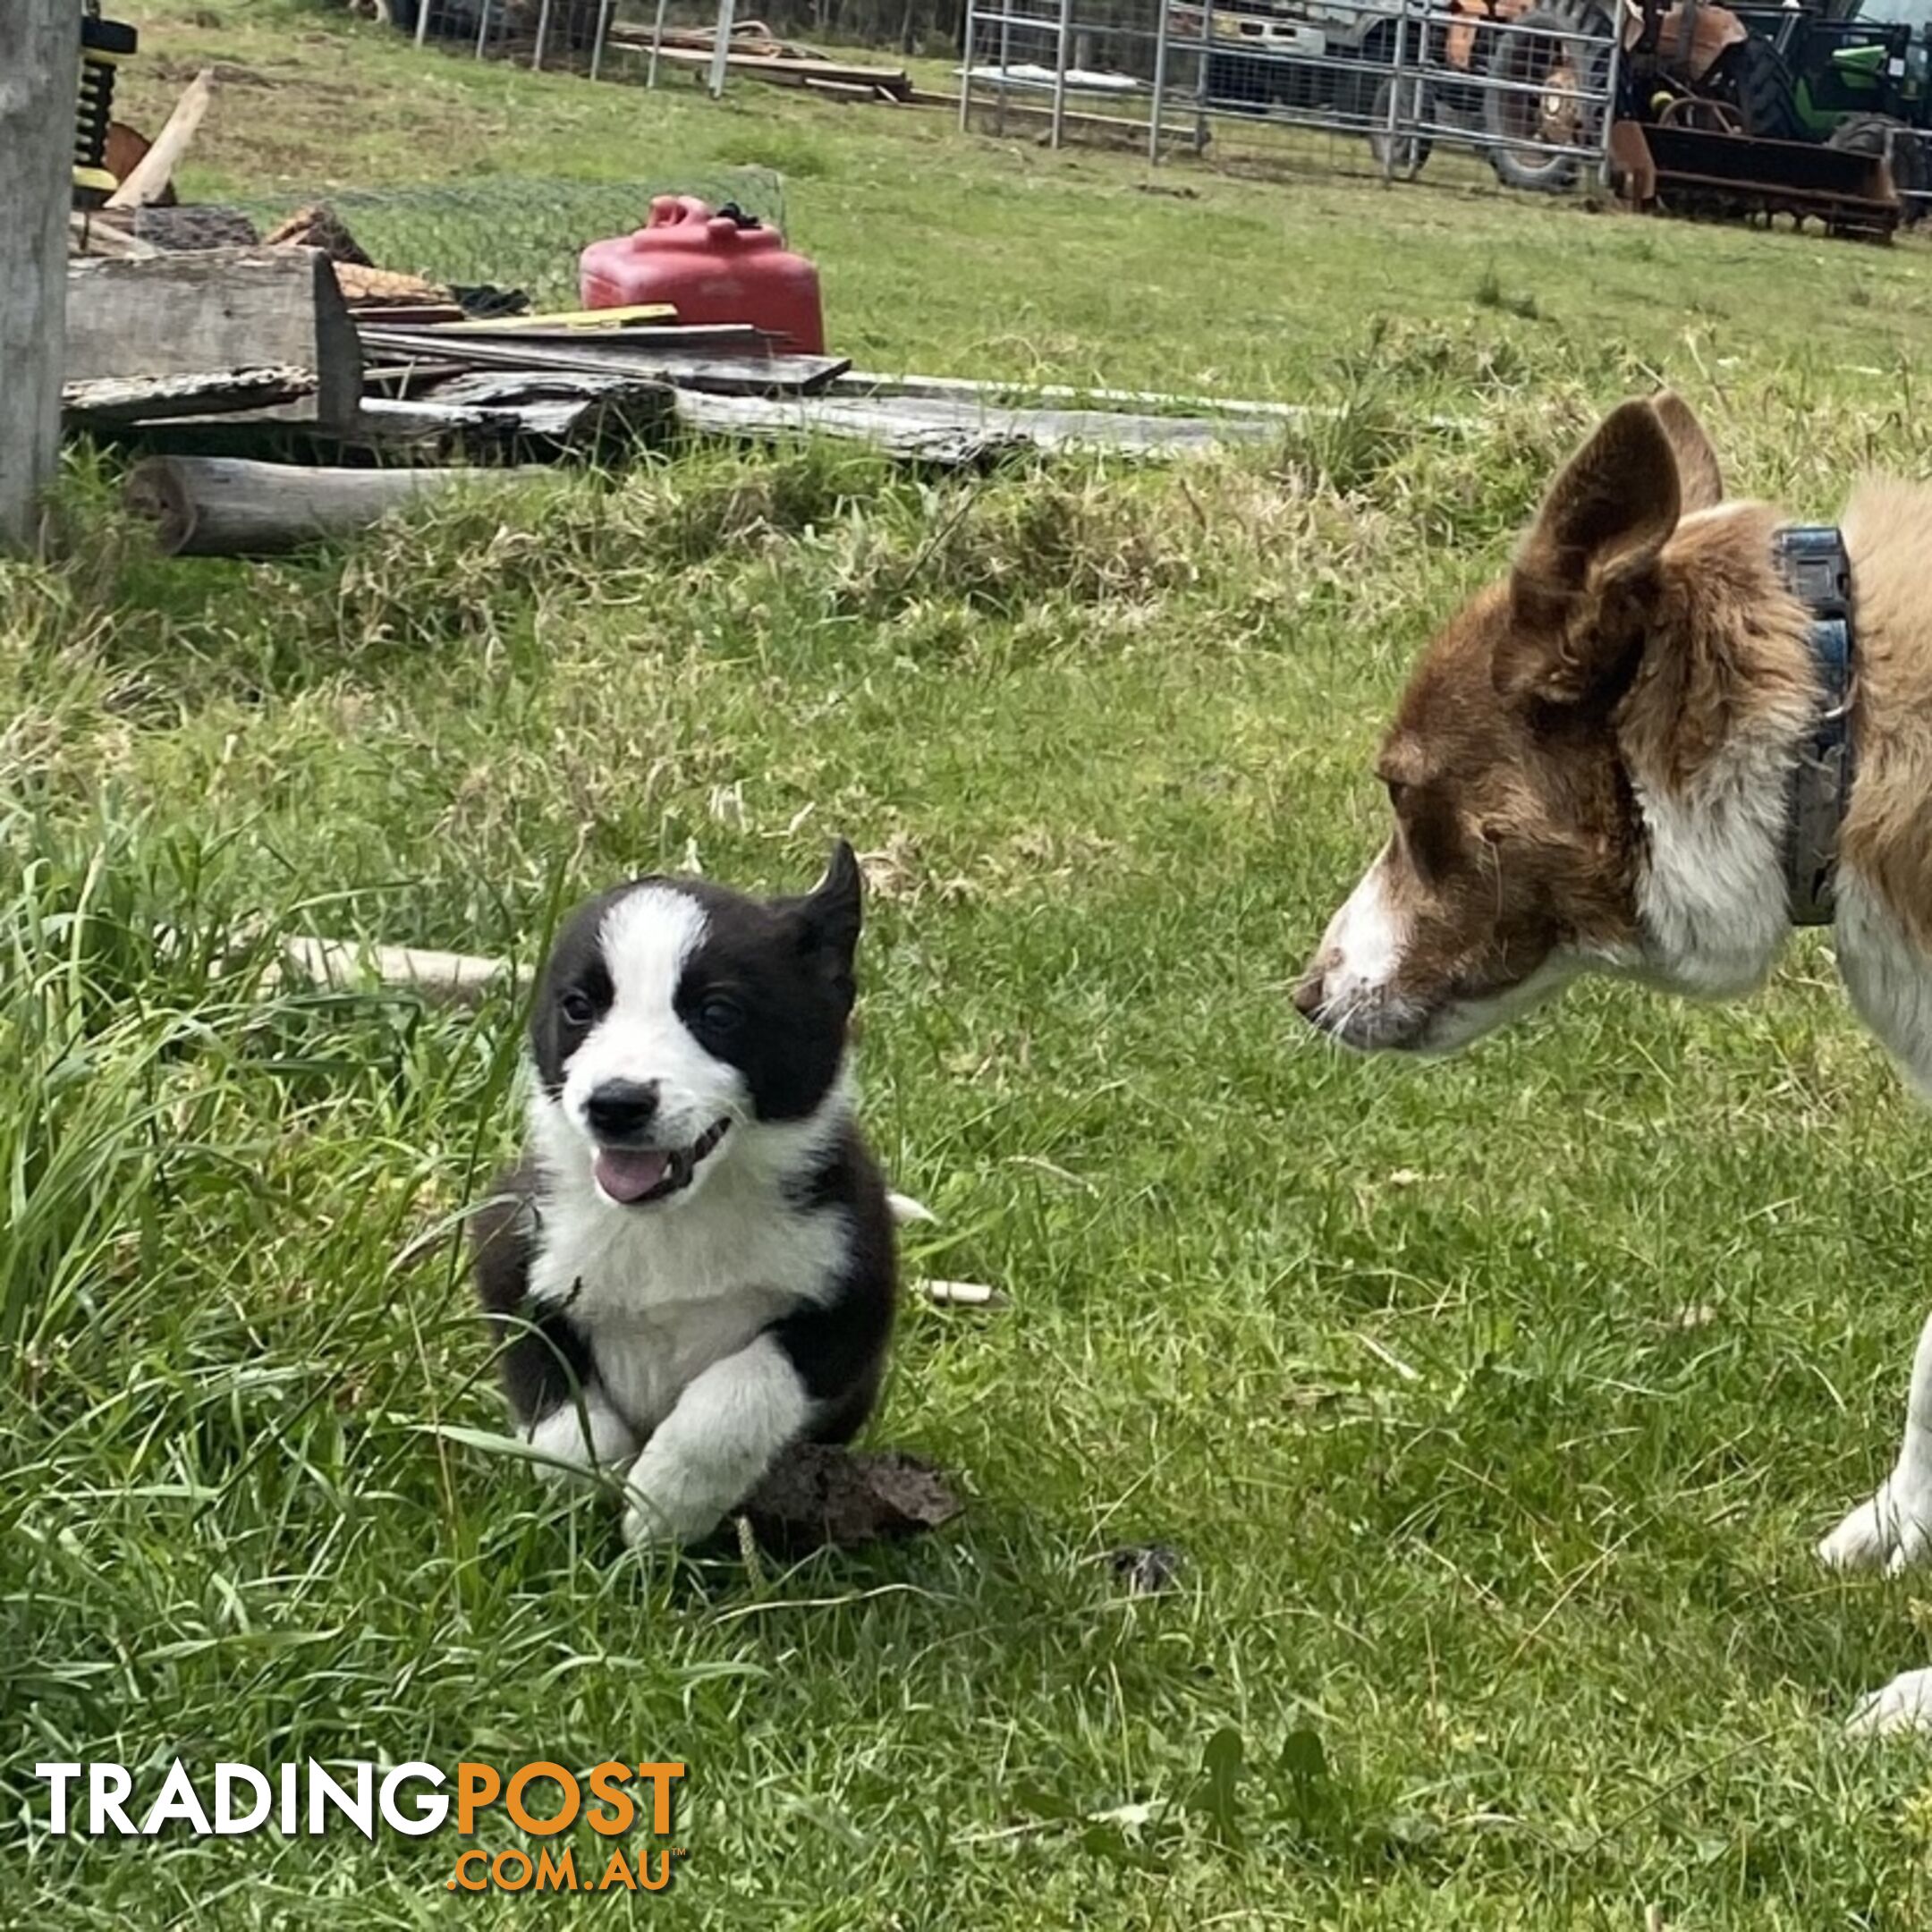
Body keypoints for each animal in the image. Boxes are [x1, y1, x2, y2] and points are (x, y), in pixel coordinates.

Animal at [471, 846, 892, 1553]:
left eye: (718, 1013)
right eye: (578, 1007)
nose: (615, 1105)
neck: (676, 1218)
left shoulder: (855, 1297)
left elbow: (736, 1397)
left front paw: (664, 1505)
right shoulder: (514, 1248)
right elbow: (558, 1401)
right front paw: (585, 1493)